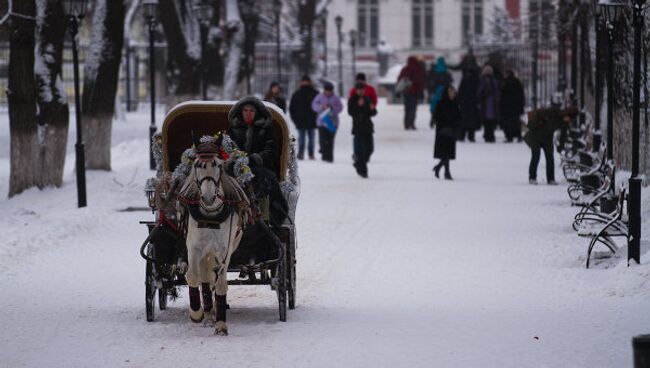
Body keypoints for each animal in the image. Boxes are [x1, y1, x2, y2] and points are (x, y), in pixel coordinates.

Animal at [178, 144, 249, 336]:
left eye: (218, 165)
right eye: (197, 164)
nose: (208, 197)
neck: (210, 216)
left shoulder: (224, 250)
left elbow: (221, 283)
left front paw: (221, 324)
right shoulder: (193, 248)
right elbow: (193, 277)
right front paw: (196, 313)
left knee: (211, 279)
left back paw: (214, 312)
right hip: (204, 253)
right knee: (204, 278)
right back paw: (208, 313)